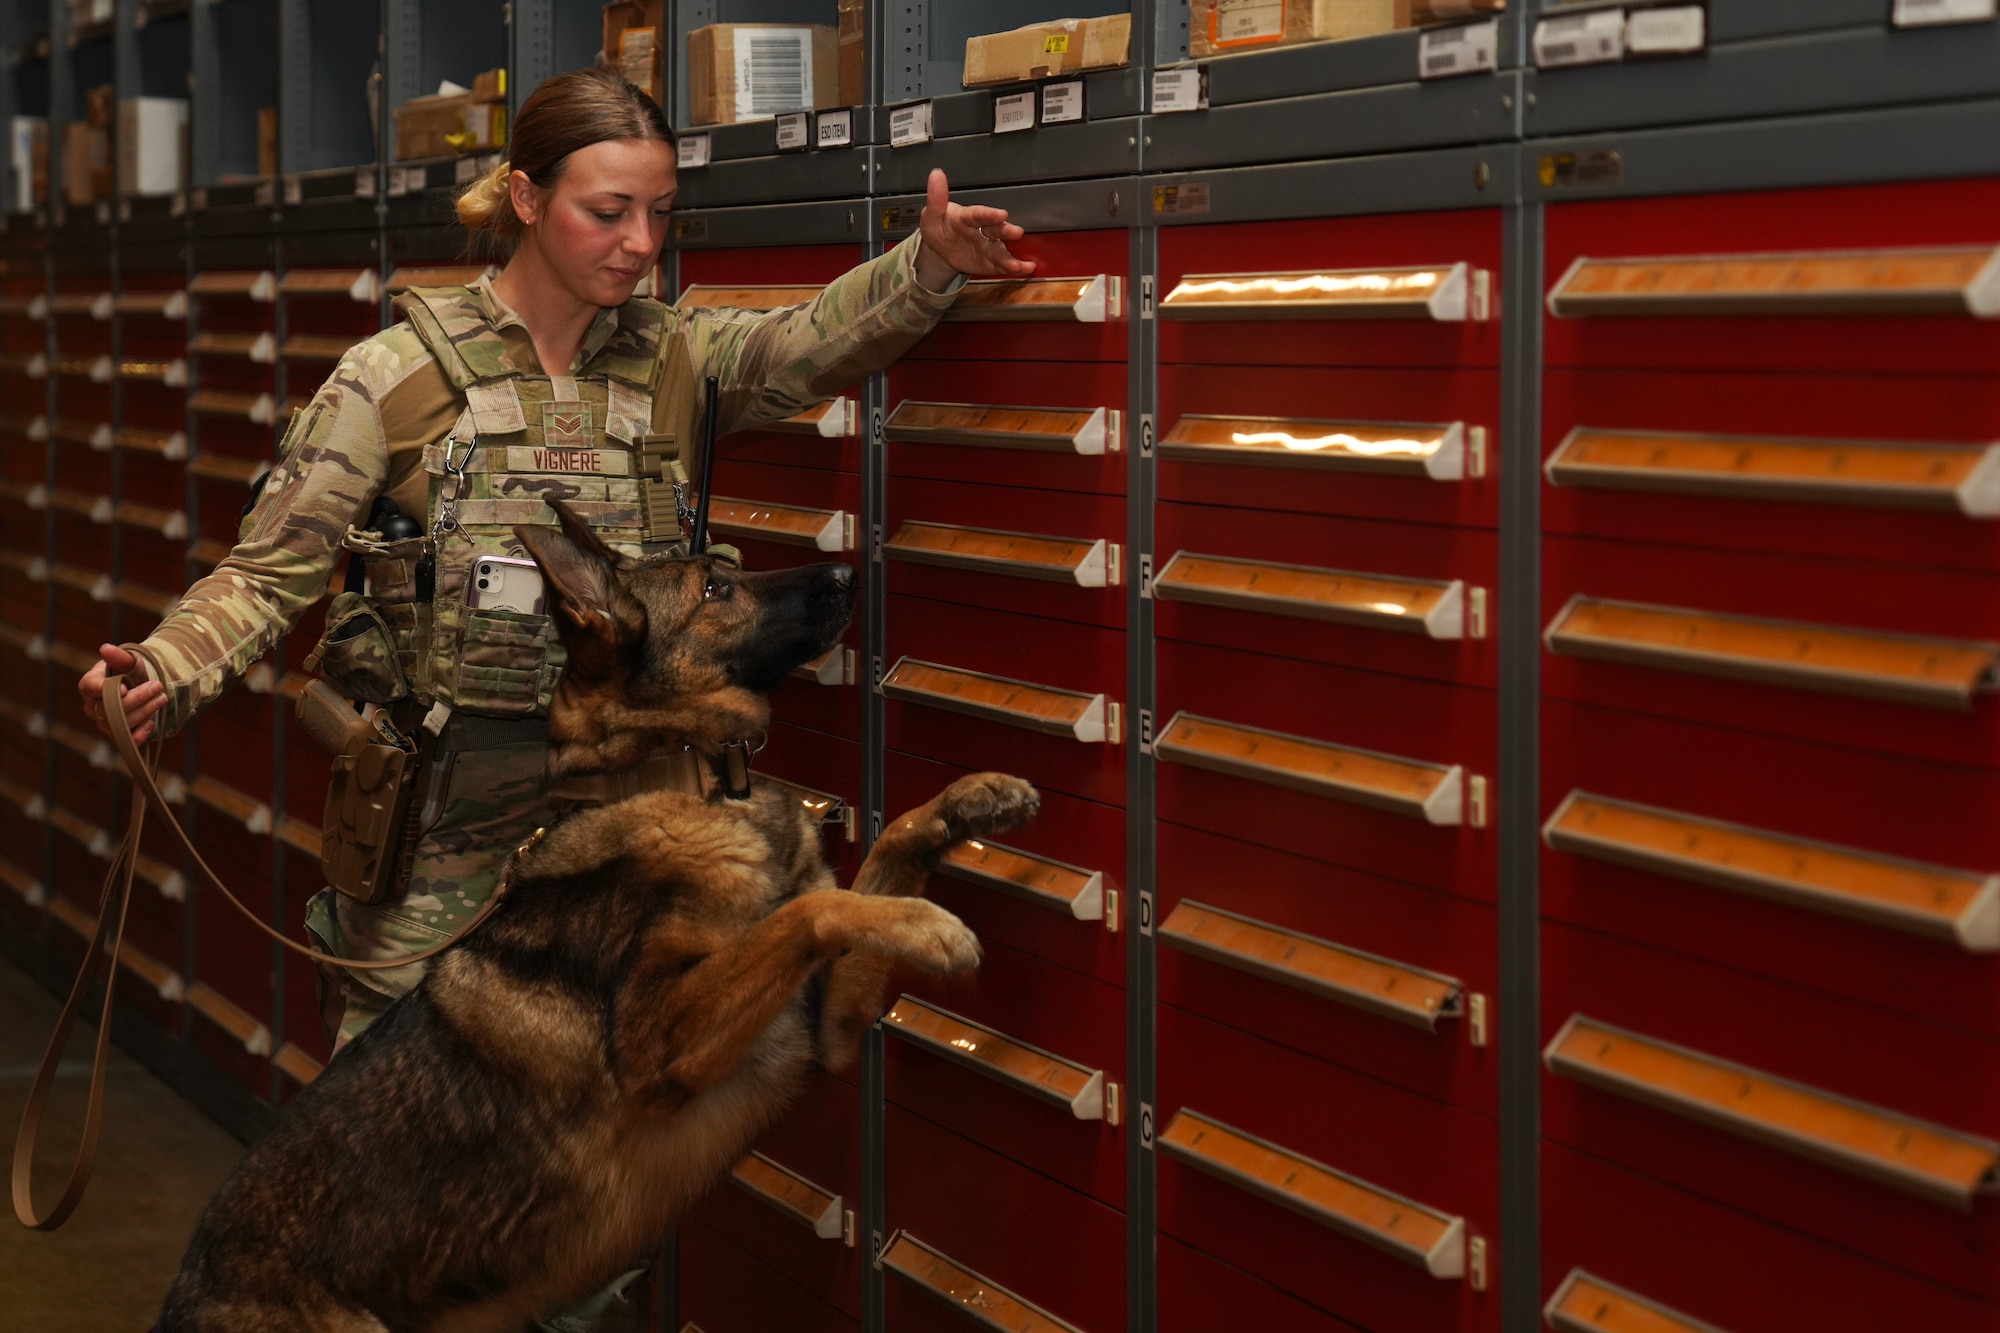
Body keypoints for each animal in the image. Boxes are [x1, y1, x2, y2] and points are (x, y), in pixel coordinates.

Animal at [152, 498, 1048, 1328]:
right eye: (716, 587)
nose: (846, 573)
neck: (673, 779)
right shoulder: (662, 1043)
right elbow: (813, 908)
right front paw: (929, 924)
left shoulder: (823, 1027)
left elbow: (875, 860)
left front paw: (970, 799)